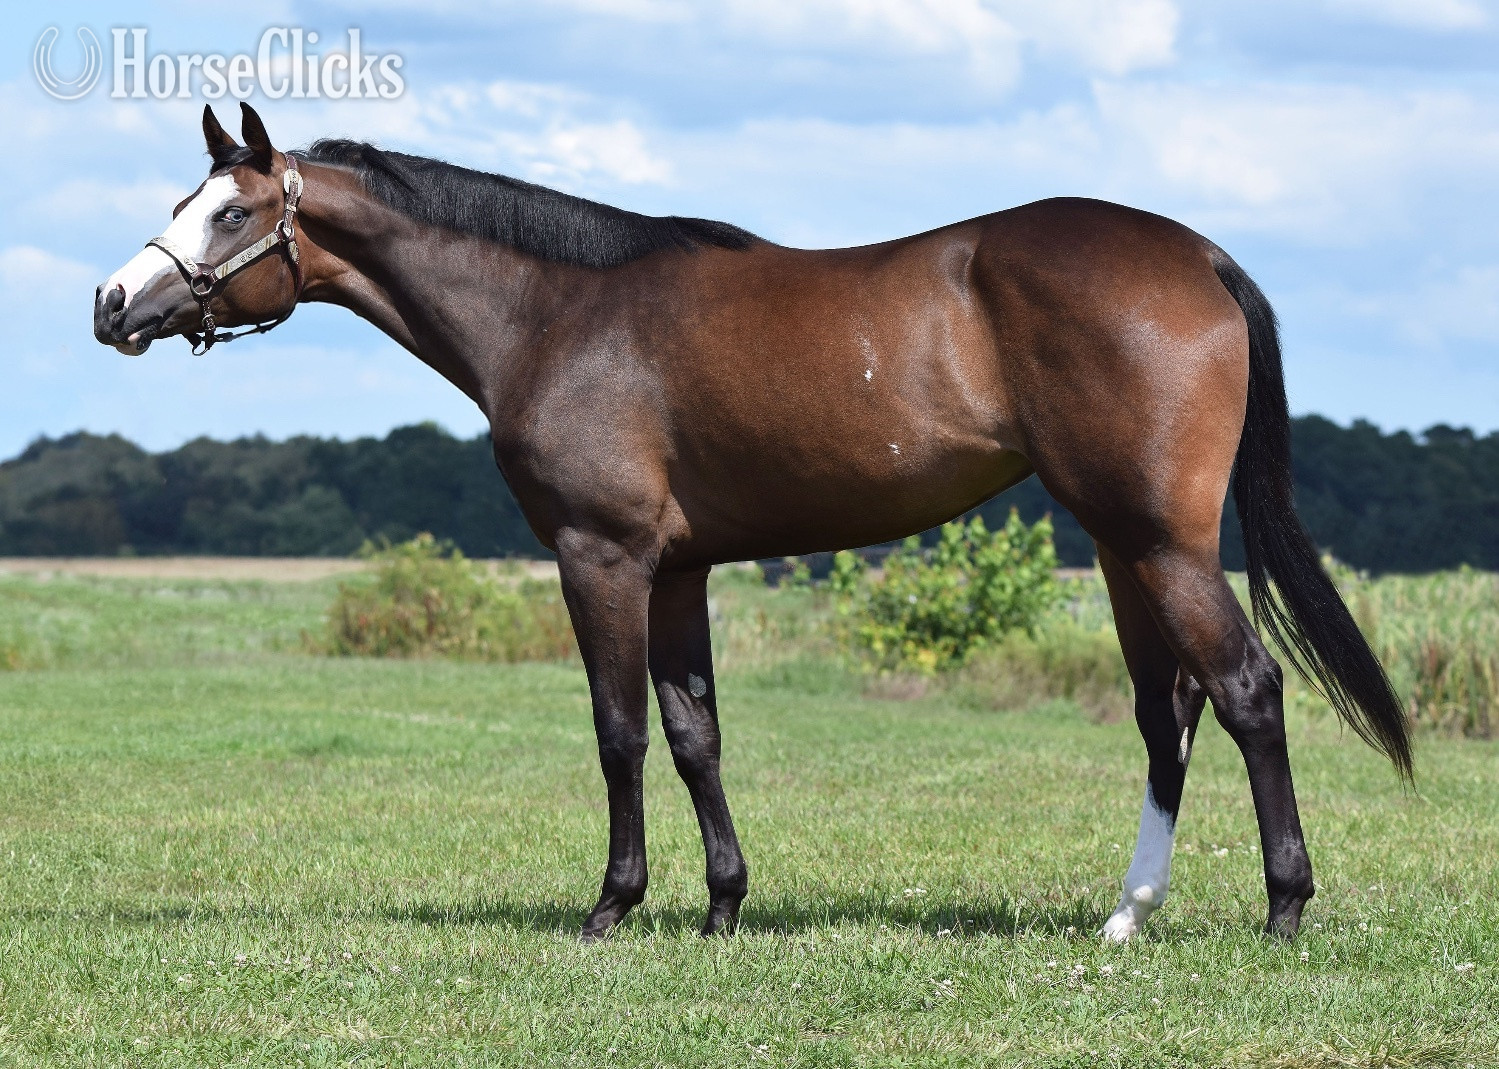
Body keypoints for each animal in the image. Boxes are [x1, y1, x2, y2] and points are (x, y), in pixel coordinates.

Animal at [94, 103, 1411, 943]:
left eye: (231, 213)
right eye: (189, 201)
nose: (113, 302)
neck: (557, 312)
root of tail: (1197, 256)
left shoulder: (601, 558)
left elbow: (619, 732)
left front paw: (613, 904)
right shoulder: (679, 571)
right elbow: (695, 737)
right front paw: (723, 903)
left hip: (1156, 541)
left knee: (1244, 689)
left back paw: (1282, 907)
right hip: (1119, 542)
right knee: (1167, 709)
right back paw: (1128, 913)